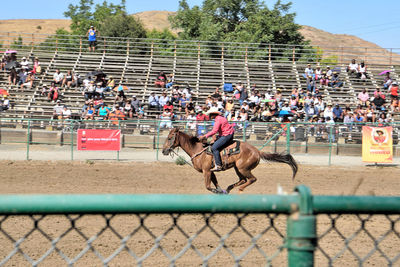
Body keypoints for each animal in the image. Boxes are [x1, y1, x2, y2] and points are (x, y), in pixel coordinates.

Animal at [162, 127, 296, 195]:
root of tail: (257, 151)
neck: (198, 149)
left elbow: (208, 186)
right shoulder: (211, 171)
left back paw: (239, 190)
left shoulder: (206, 171)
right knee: (243, 179)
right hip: (238, 168)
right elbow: (215, 183)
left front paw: (218, 192)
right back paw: (228, 189)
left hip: (243, 168)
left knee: (252, 179)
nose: (163, 151)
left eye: (169, 138)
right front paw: (221, 190)